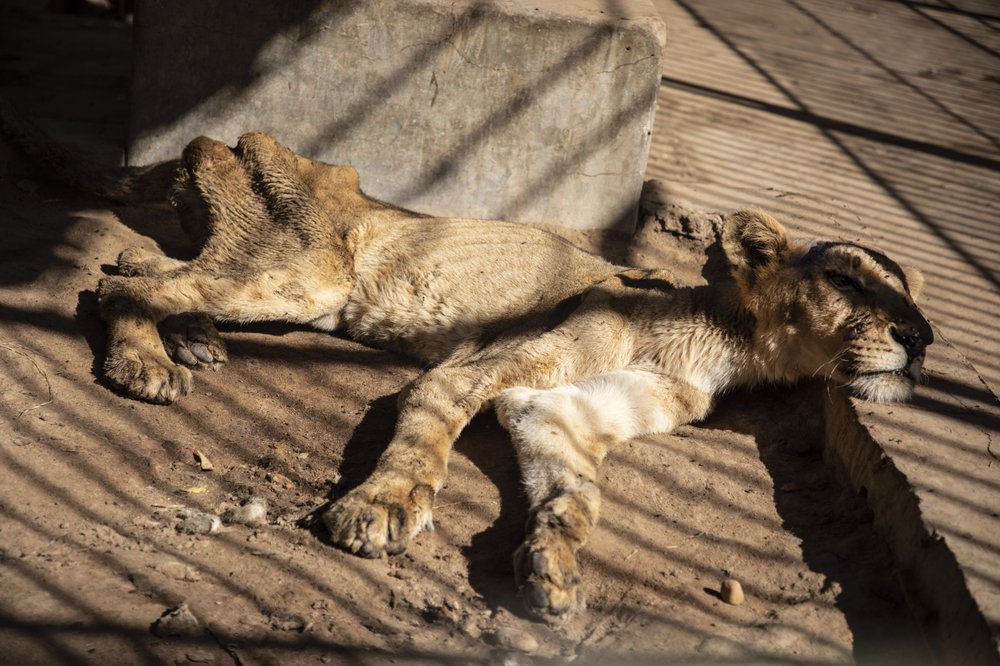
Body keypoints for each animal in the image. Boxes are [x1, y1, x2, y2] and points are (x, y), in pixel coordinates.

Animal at [23, 128, 932, 616]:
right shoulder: (474, 373)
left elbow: (577, 499)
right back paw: (147, 361)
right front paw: (380, 510)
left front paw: (555, 573)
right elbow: (425, 442)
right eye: (848, 280)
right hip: (299, 275)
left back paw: (193, 340)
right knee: (115, 283)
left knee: (130, 260)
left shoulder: (553, 410)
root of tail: (228, 138)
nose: (921, 337)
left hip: (281, 283)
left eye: (917, 293)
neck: (724, 348)